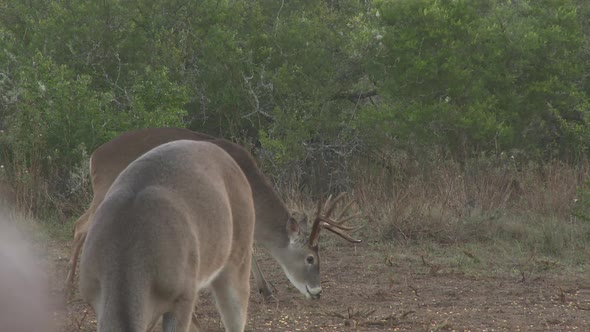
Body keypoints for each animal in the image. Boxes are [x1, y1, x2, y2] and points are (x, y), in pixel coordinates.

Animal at [66, 127, 360, 304]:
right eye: (311, 258)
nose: (317, 292)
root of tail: (94, 156)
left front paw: (266, 290)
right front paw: (264, 290)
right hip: (106, 190)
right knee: (80, 226)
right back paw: (70, 285)